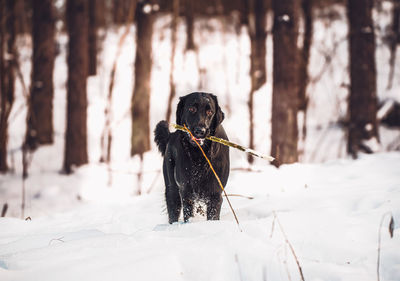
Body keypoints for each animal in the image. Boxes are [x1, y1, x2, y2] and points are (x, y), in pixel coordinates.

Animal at [154, 92, 230, 223]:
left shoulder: (215, 194)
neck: (200, 155)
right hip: (172, 188)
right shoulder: (186, 191)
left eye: (210, 112)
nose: (200, 131)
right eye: (192, 109)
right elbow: (188, 214)